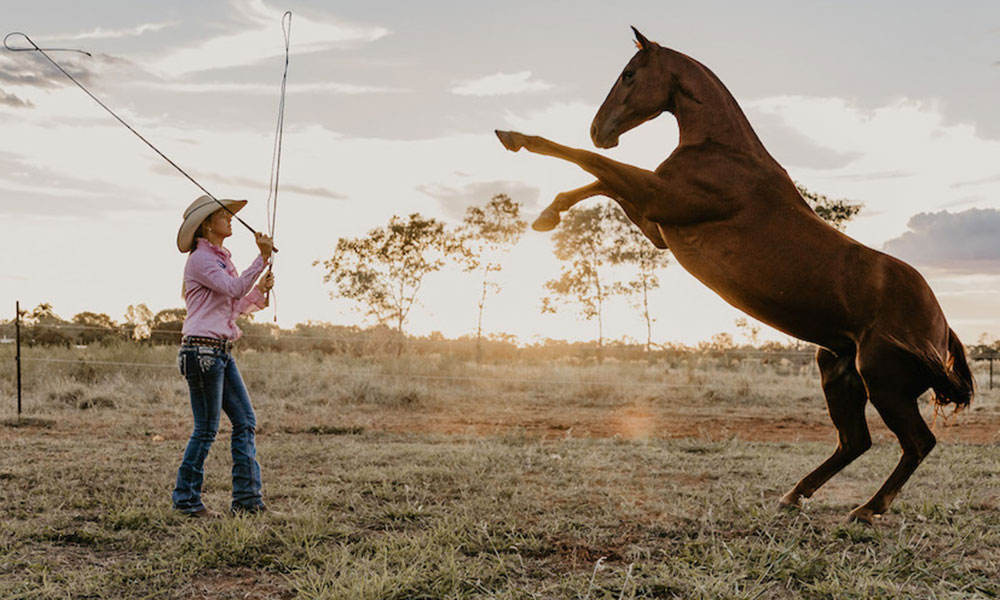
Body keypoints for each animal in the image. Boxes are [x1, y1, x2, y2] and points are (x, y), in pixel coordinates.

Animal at [496, 27, 972, 524]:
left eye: (628, 75)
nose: (599, 130)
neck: (725, 153)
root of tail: (941, 328)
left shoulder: (659, 200)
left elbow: (591, 164)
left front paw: (515, 138)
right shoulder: (656, 224)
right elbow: (600, 181)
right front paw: (548, 215)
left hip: (882, 379)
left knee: (917, 442)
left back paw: (866, 509)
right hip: (838, 369)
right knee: (855, 441)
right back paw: (793, 496)